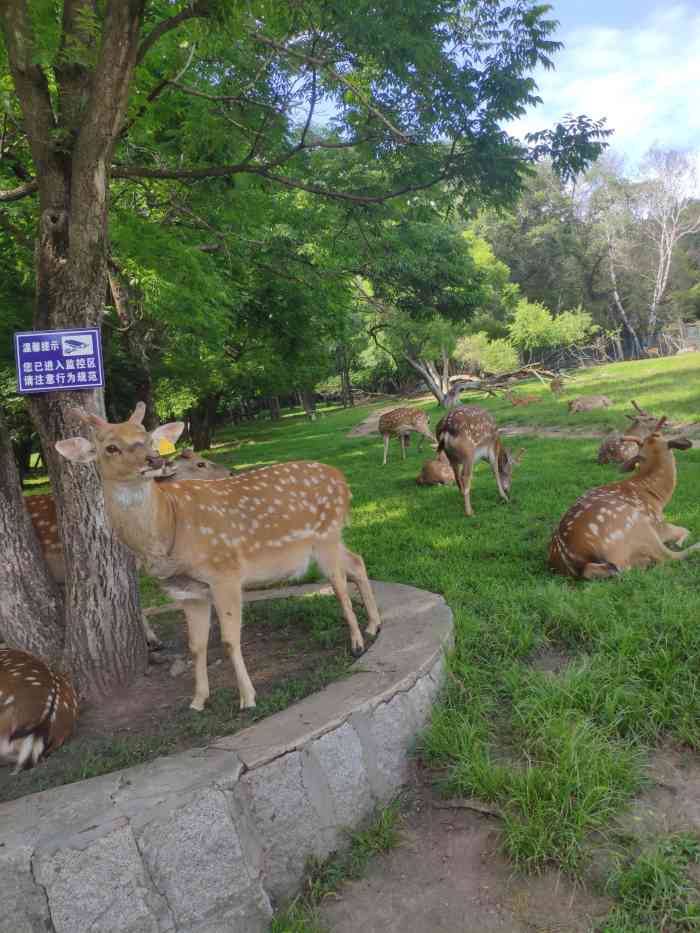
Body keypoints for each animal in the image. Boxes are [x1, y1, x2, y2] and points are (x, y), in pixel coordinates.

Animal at [56, 400, 380, 708]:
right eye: (110, 447)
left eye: (147, 439)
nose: (154, 460)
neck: (169, 529)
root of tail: (342, 480)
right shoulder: (187, 591)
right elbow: (196, 647)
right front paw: (198, 700)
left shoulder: (225, 573)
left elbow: (229, 640)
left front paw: (247, 698)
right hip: (328, 539)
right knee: (357, 562)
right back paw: (373, 625)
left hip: (326, 535)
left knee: (339, 583)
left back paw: (357, 643)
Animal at [548, 416, 696, 580]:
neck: (656, 496)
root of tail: (575, 563)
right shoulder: (658, 523)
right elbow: (685, 530)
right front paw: (679, 541)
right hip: (638, 525)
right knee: (667, 556)